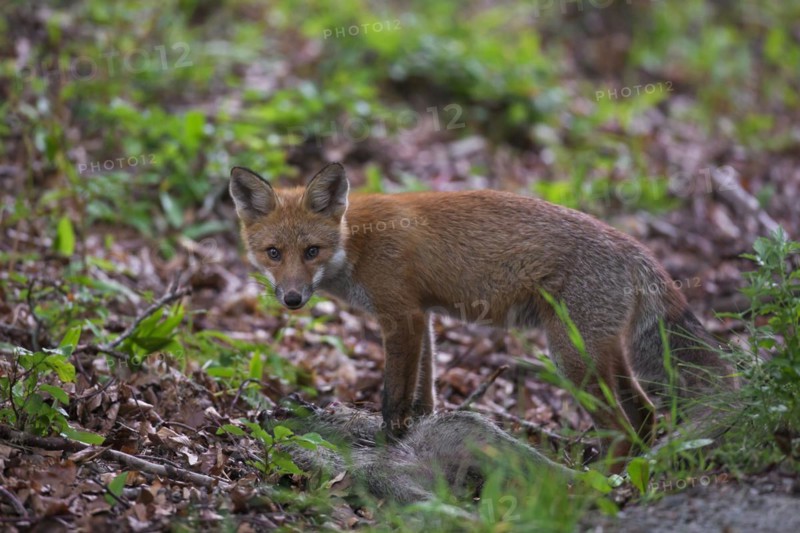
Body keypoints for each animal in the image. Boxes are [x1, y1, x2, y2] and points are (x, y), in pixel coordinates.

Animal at [229, 162, 739, 470]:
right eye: (274, 253)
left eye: (311, 251)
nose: (292, 298)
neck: (357, 241)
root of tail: (637, 248)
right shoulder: (423, 316)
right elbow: (425, 390)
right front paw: (421, 432)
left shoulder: (401, 316)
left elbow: (394, 395)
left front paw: (389, 445)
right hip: (603, 354)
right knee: (646, 413)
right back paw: (633, 471)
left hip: (571, 358)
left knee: (620, 428)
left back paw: (603, 483)